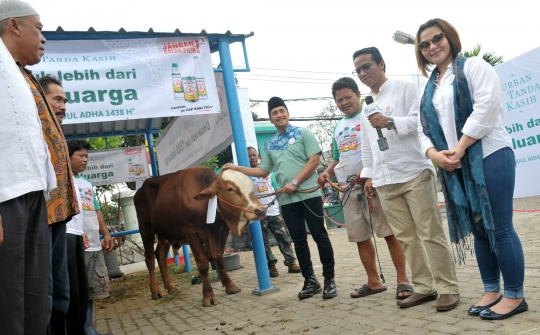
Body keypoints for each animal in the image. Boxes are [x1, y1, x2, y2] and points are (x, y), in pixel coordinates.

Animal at [135, 167, 266, 308]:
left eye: (251, 187)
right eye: (230, 189)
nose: (261, 210)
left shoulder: (219, 233)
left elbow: (219, 259)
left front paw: (230, 285)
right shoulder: (192, 235)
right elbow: (203, 264)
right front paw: (208, 295)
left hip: (165, 233)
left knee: (160, 255)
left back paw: (170, 287)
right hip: (145, 229)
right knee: (150, 259)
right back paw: (155, 291)